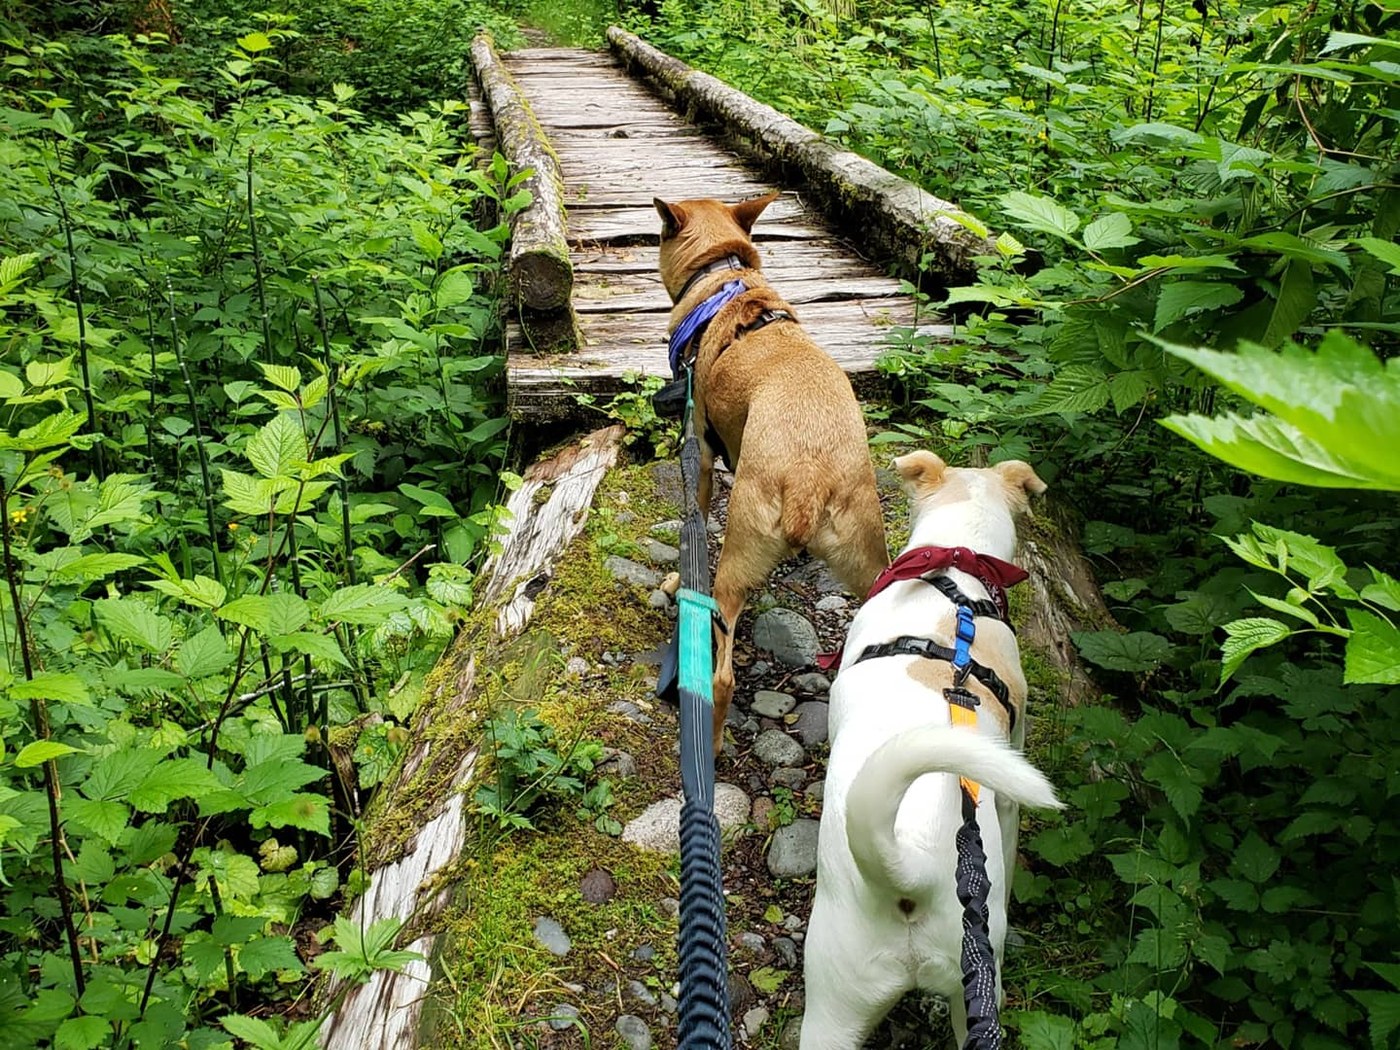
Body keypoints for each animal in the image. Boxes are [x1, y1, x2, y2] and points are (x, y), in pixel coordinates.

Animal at [654, 193, 888, 755]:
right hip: (870, 563)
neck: (723, 276)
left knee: (722, 673)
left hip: (736, 562)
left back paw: (712, 734)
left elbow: (694, 520)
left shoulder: (699, 450)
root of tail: (808, 477)